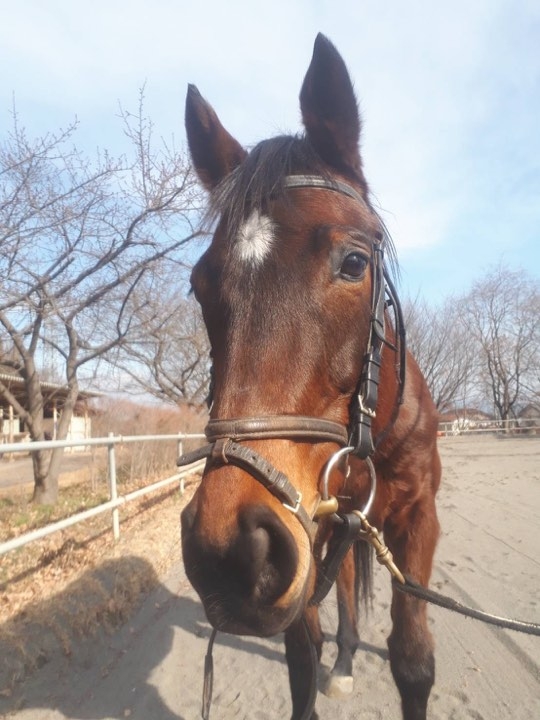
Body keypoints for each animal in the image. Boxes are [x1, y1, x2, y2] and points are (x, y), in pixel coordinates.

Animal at [180, 33, 438, 720]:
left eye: (353, 263)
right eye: (199, 285)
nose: (228, 554)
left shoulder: (417, 517)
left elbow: (413, 659)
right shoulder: (307, 522)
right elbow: (302, 649)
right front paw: (329, 659)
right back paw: (345, 659)